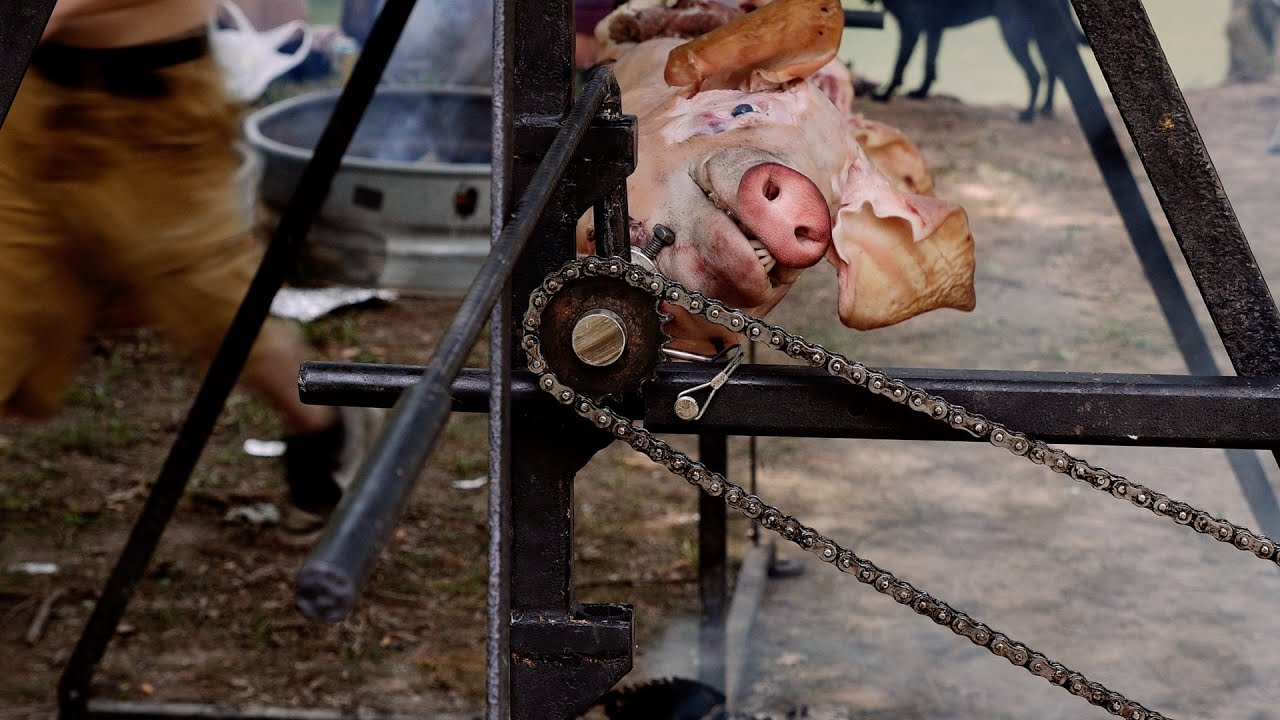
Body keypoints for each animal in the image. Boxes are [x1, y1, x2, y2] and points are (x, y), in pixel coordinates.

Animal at [873, 0, 1087, 122]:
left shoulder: (911, 27)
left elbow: (899, 66)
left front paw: (885, 94)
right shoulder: (933, 29)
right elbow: (929, 64)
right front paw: (921, 92)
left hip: (1014, 32)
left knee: (1037, 74)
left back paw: (1028, 114)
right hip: (1040, 34)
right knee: (1054, 69)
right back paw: (1045, 108)